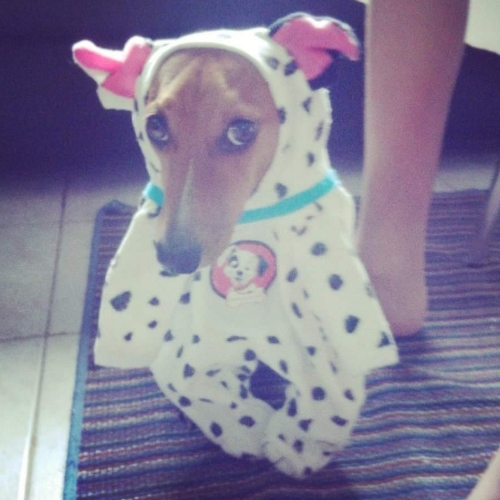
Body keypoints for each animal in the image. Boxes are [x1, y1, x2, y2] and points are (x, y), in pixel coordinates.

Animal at [73, 13, 398, 478]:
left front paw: (298, 443)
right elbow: (195, 385)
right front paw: (241, 427)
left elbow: (328, 391)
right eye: (156, 127)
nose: (172, 258)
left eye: (240, 130)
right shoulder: (185, 351)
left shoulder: (319, 342)